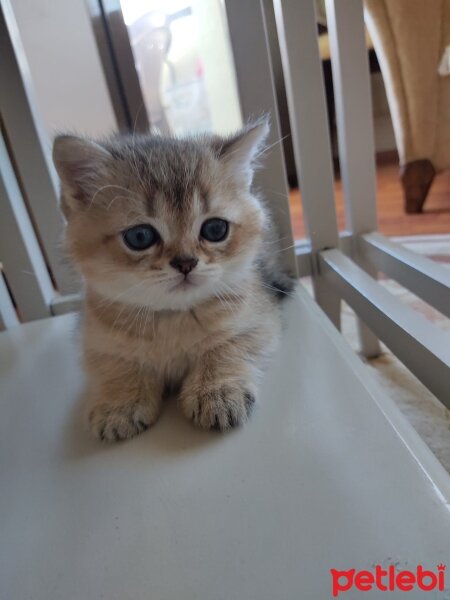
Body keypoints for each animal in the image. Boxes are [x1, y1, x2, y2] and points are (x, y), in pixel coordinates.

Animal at [52, 120, 294, 440]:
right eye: (140, 236)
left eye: (215, 229)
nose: (186, 262)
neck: (172, 319)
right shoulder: (95, 338)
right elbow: (116, 365)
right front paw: (120, 403)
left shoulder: (259, 318)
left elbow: (227, 347)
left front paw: (216, 391)